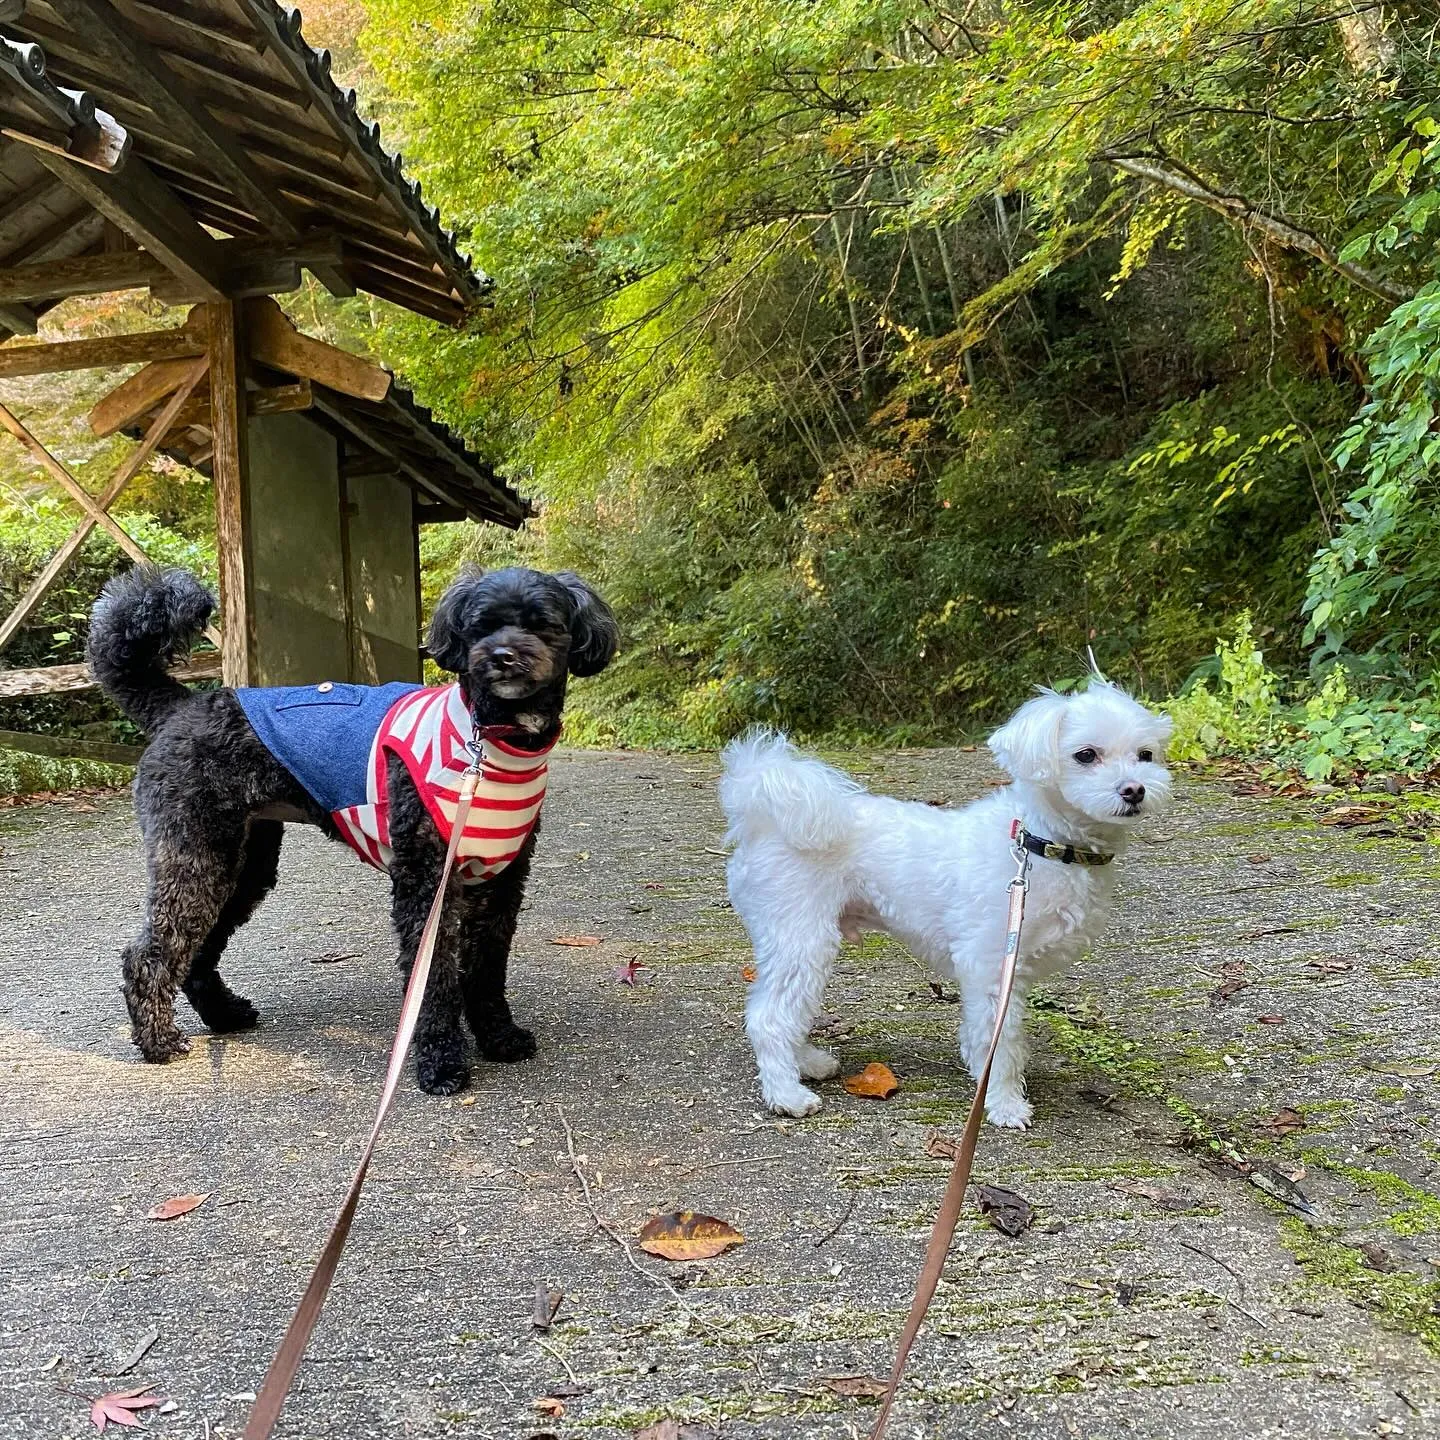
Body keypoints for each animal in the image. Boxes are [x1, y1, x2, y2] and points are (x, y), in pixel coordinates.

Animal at [720, 682, 1169, 1123]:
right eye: (1086, 754)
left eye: (1145, 755)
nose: (1134, 789)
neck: (1040, 842)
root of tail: (763, 820)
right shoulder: (991, 963)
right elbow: (1001, 1043)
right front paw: (1005, 1103)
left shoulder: (1005, 970)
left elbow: (986, 1036)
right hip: (802, 936)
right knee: (769, 1018)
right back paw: (787, 1094)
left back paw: (808, 1063)